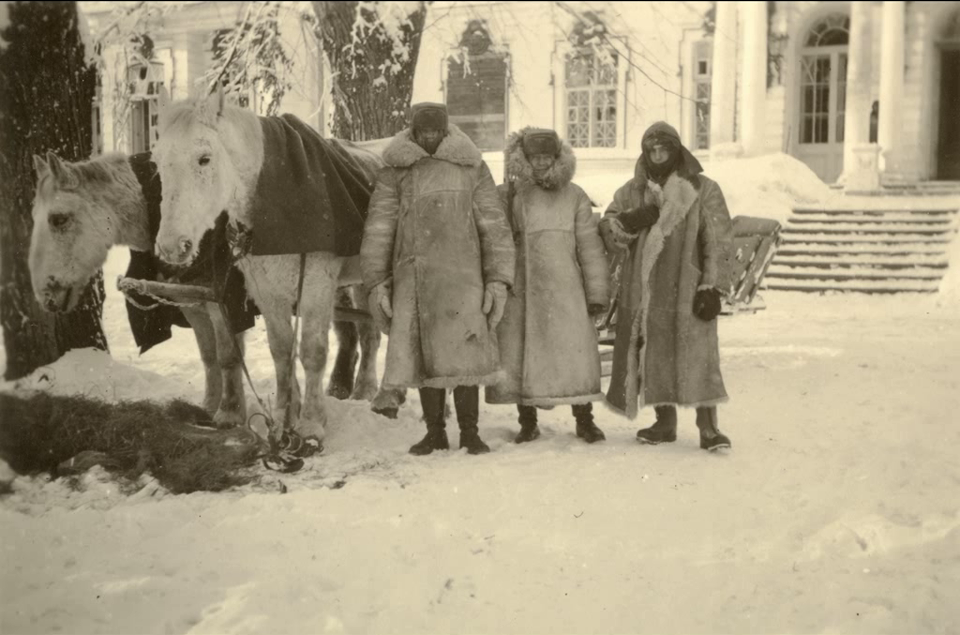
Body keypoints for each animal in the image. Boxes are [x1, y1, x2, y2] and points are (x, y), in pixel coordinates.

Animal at [29, 152, 248, 428]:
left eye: (59, 219)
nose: (45, 297)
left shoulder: (223, 302)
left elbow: (228, 356)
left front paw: (229, 414)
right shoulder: (193, 304)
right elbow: (209, 356)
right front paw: (207, 408)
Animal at [154, 89, 386, 448]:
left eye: (204, 158)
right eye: (157, 162)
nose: (170, 246)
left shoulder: (315, 286)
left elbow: (312, 352)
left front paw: (311, 425)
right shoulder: (266, 292)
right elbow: (281, 352)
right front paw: (282, 423)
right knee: (370, 332)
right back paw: (363, 390)